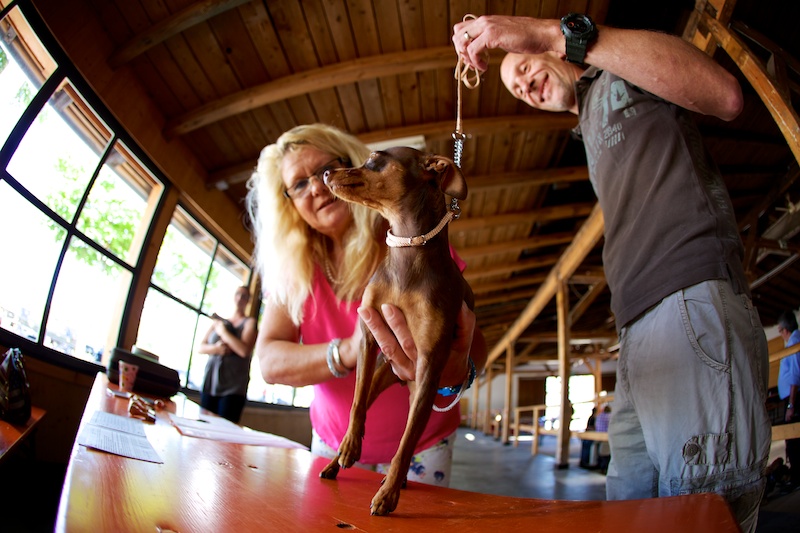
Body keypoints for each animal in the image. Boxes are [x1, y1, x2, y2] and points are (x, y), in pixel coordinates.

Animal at [320, 147, 476, 516]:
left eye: (374, 158)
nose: (325, 173)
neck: (408, 248)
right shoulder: (368, 338)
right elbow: (356, 404)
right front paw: (349, 448)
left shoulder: (431, 364)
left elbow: (405, 444)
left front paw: (388, 494)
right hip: (382, 375)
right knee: (365, 404)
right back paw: (335, 462)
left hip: (420, 389)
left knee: (411, 435)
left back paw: (398, 480)